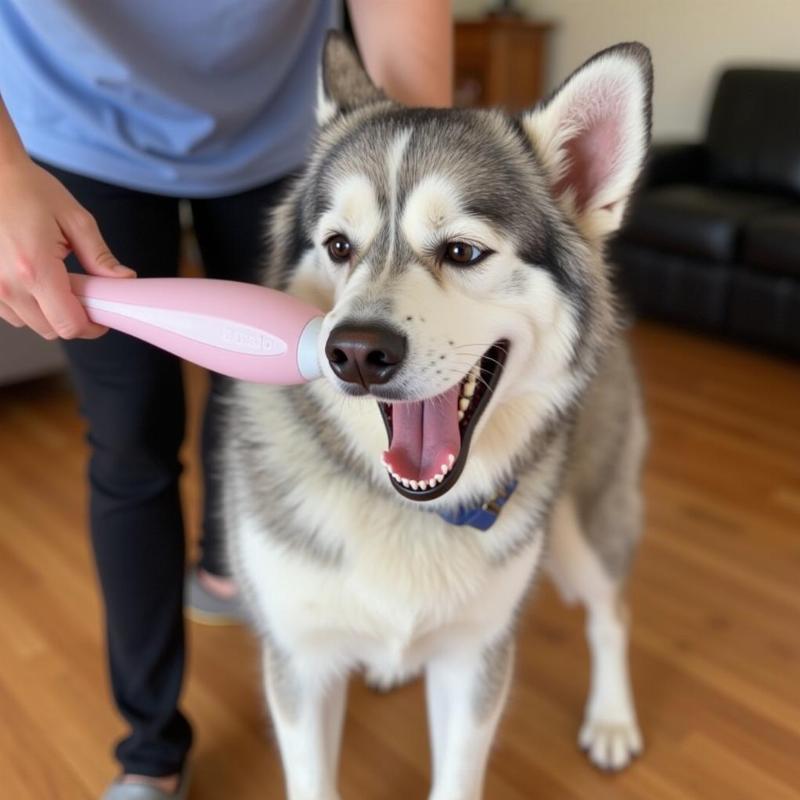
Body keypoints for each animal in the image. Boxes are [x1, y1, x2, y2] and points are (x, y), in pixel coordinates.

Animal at [222, 32, 652, 800]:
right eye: (339, 246)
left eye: (462, 251)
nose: (355, 353)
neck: (405, 511)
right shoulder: (299, 662)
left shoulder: (475, 658)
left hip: (585, 526)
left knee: (611, 613)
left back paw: (611, 719)